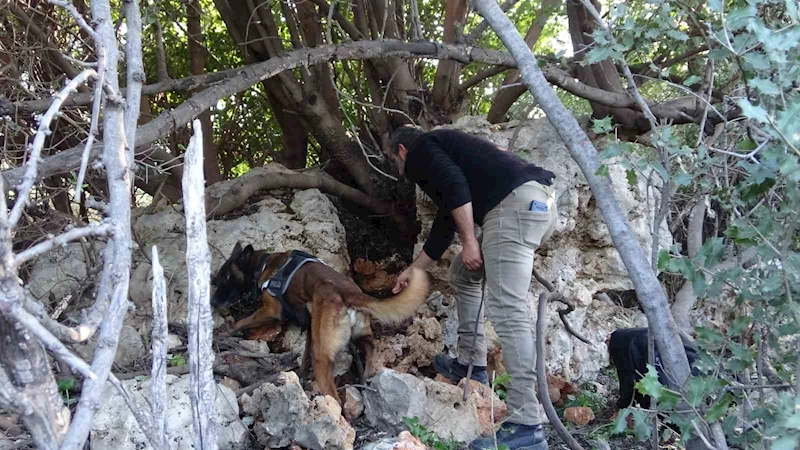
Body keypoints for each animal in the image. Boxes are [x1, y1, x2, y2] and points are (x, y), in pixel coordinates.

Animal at [209, 244, 428, 402]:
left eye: (227, 277)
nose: (213, 302)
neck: (263, 264)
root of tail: (349, 292)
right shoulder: (309, 326)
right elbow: (305, 353)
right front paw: (300, 374)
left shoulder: (271, 310)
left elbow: (244, 322)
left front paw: (228, 331)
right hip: (357, 333)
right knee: (370, 345)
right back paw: (366, 373)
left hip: (322, 355)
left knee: (334, 395)